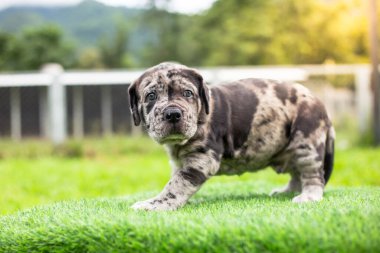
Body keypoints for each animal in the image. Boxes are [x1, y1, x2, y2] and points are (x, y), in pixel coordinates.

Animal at [128, 62, 336, 211]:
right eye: (151, 96)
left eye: (187, 93)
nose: (172, 114)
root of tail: (322, 107)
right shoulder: (181, 162)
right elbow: (176, 180)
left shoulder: (202, 159)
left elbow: (176, 184)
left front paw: (155, 204)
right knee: (297, 173)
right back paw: (286, 192)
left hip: (306, 144)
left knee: (313, 175)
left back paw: (308, 196)